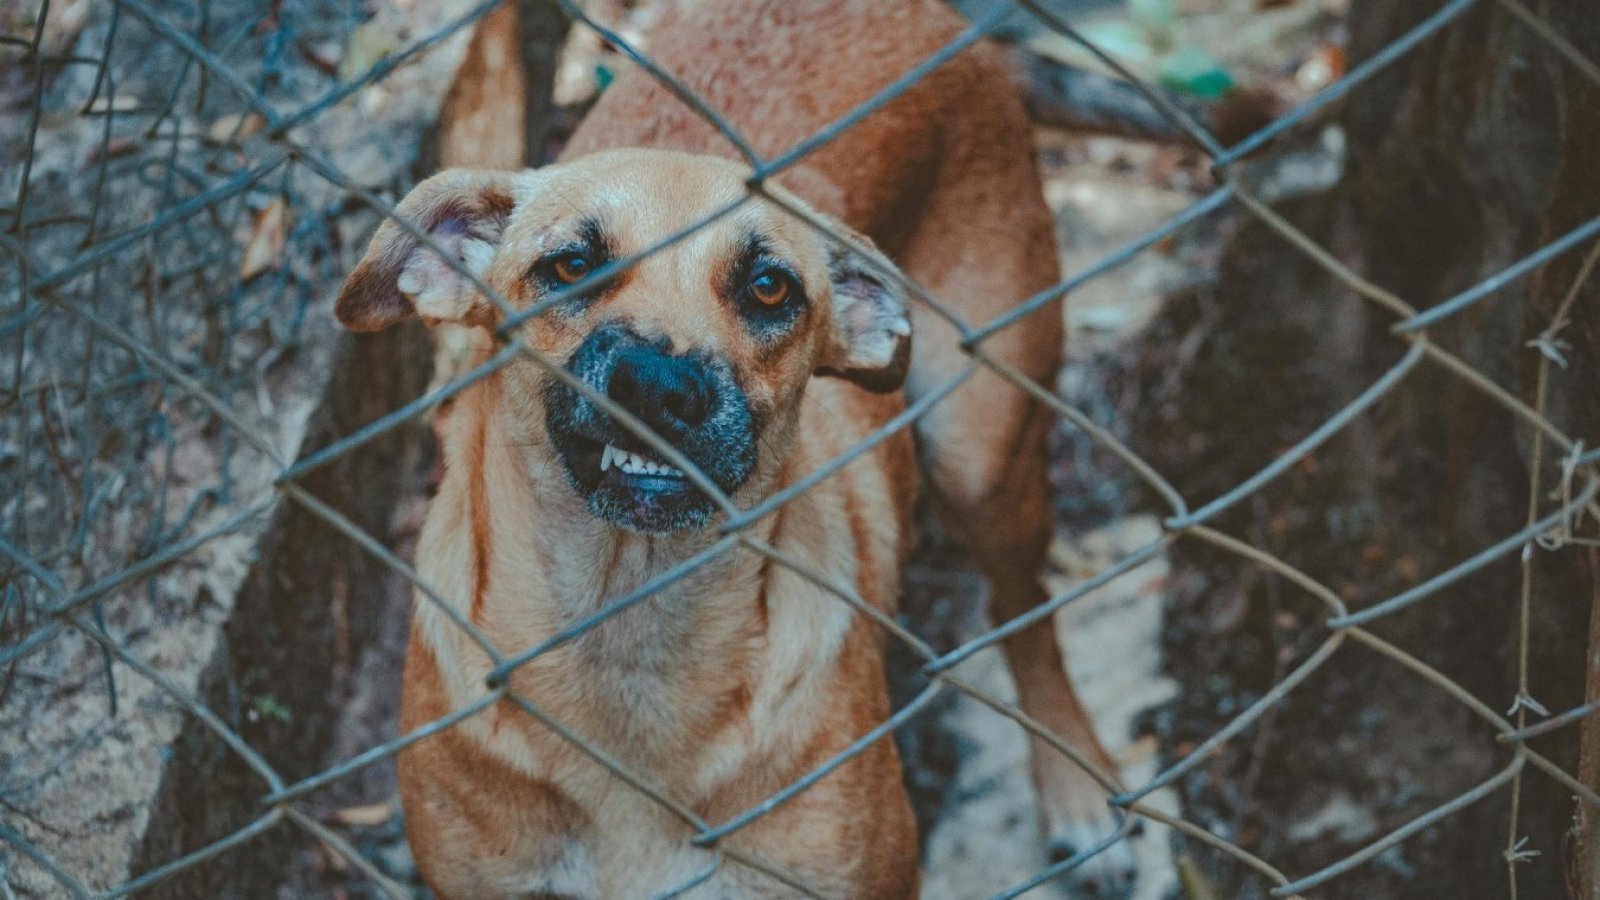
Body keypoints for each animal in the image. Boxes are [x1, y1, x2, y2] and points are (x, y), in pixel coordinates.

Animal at [336, 1, 1132, 896]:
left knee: (1027, 614)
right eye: (571, 264)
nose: (659, 386)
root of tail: (955, 26)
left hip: (983, 455)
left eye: (770, 287)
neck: (629, 633)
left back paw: (1076, 791)